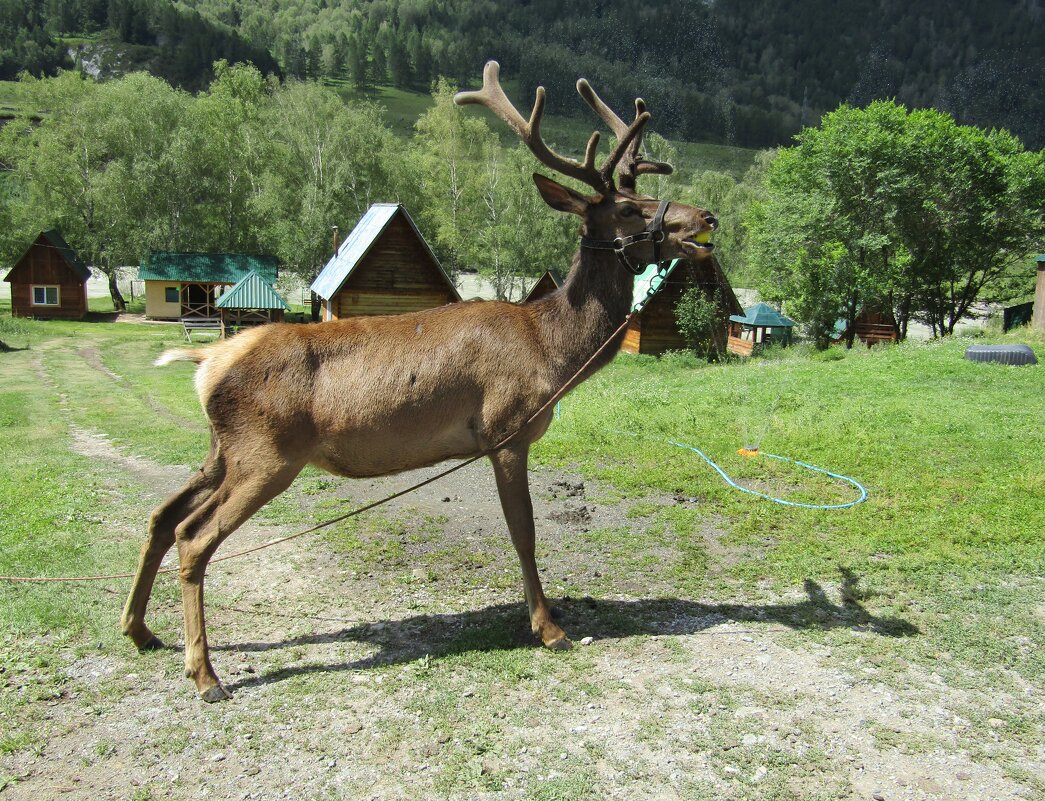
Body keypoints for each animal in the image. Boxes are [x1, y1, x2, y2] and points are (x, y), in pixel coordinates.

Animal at [116, 61, 718, 701]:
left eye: (647, 194)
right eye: (627, 208)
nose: (705, 218)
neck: (552, 350)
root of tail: (209, 360)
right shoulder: (506, 430)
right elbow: (524, 531)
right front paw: (548, 627)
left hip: (222, 449)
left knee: (162, 516)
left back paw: (139, 630)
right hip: (266, 453)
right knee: (193, 535)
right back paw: (204, 674)